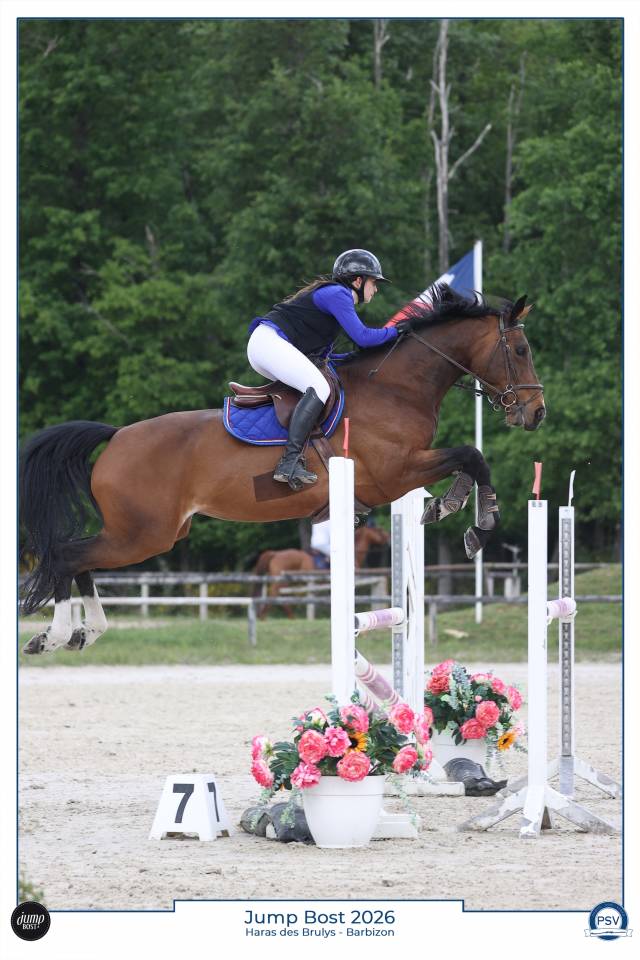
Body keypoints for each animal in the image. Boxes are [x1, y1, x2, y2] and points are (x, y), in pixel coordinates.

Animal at [253, 526, 391, 618]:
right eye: (379, 530)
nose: (389, 537)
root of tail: (275, 553)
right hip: (281, 580)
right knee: (274, 595)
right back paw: (268, 617)